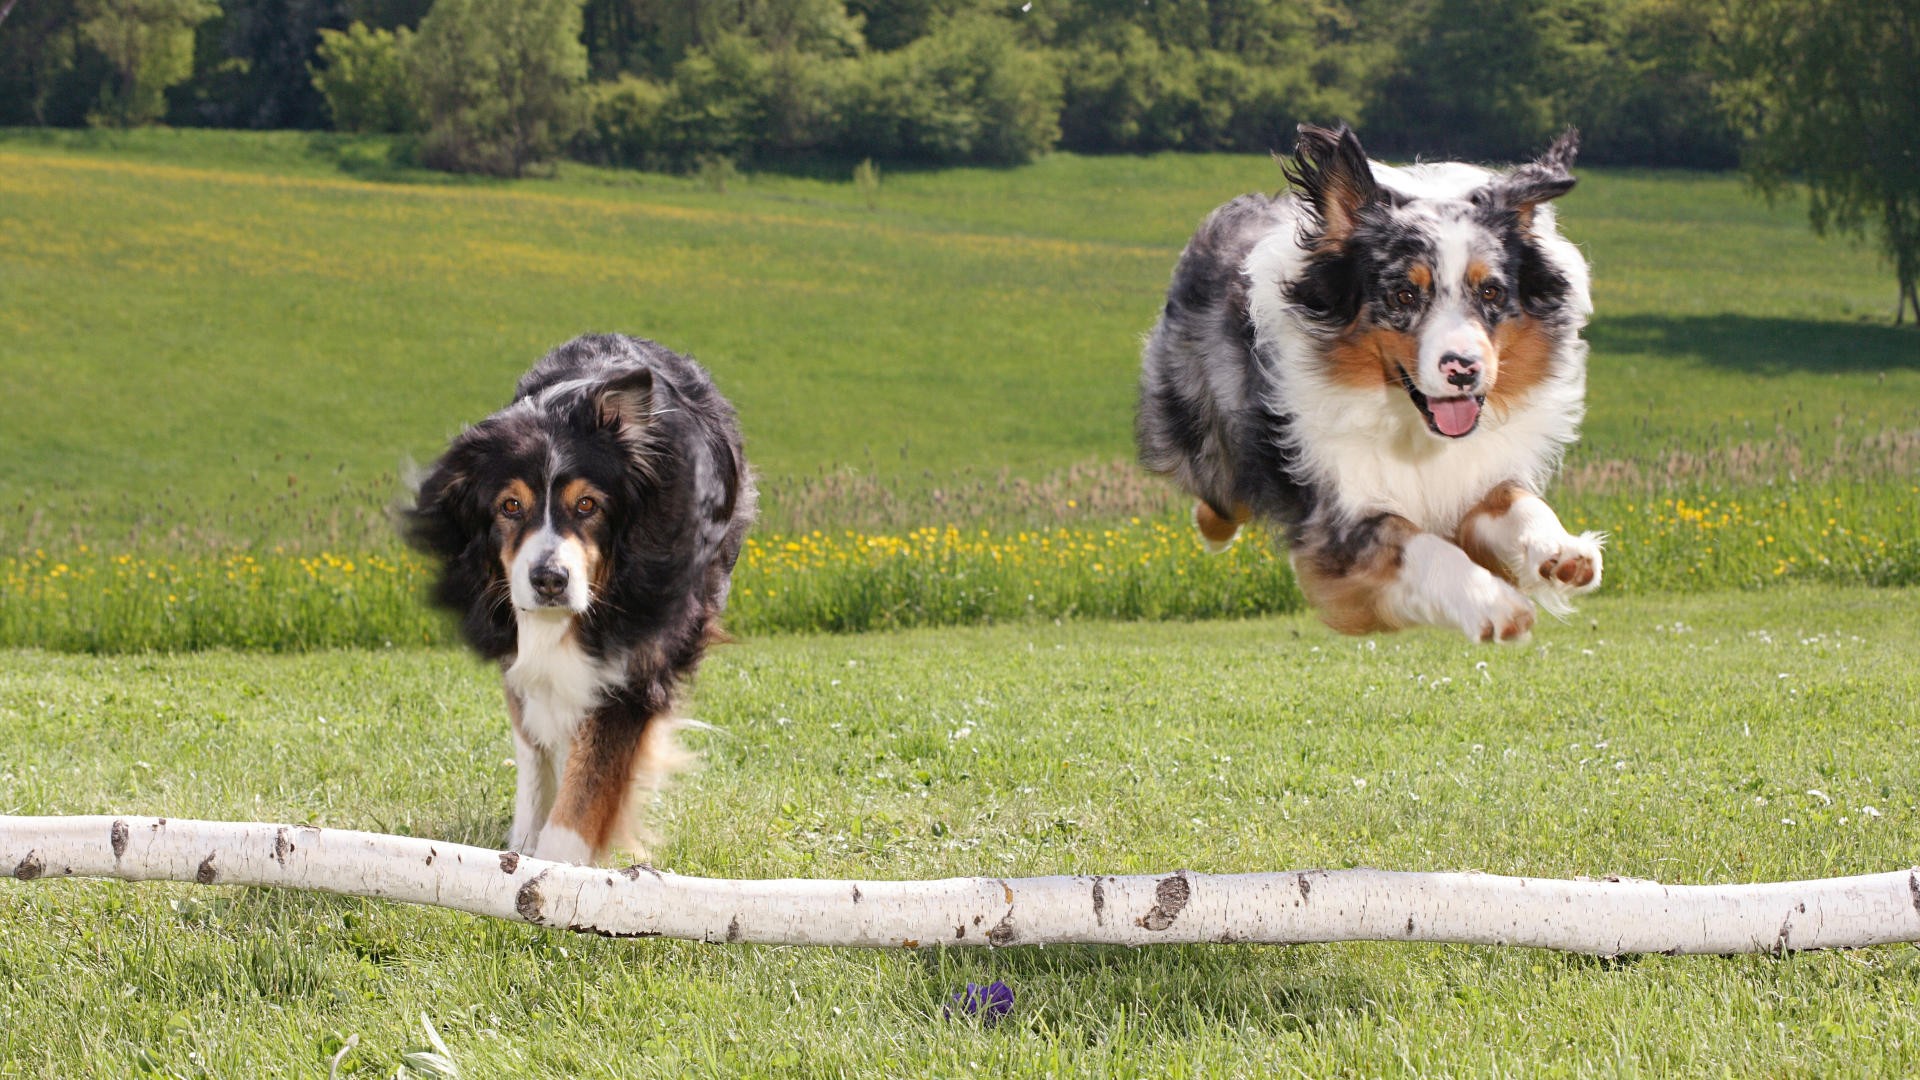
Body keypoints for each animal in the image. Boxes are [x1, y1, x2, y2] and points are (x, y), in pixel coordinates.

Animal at [403, 332, 748, 860]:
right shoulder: (519, 646)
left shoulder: (638, 659)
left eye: (587, 504)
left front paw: (556, 865)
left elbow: (591, 776)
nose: (550, 580)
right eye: (510, 506)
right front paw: (523, 846)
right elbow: (534, 744)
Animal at [1136, 123, 1605, 638]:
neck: (1412, 425)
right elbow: (1420, 545)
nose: (1463, 370)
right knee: (1221, 497)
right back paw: (1213, 530)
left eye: (1491, 291)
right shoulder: (1341, 516)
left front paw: (1561, 551)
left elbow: (1518, 502)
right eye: (1403, 295)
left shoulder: (1473, 477)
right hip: (1206, 432)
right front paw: (1494, 604)